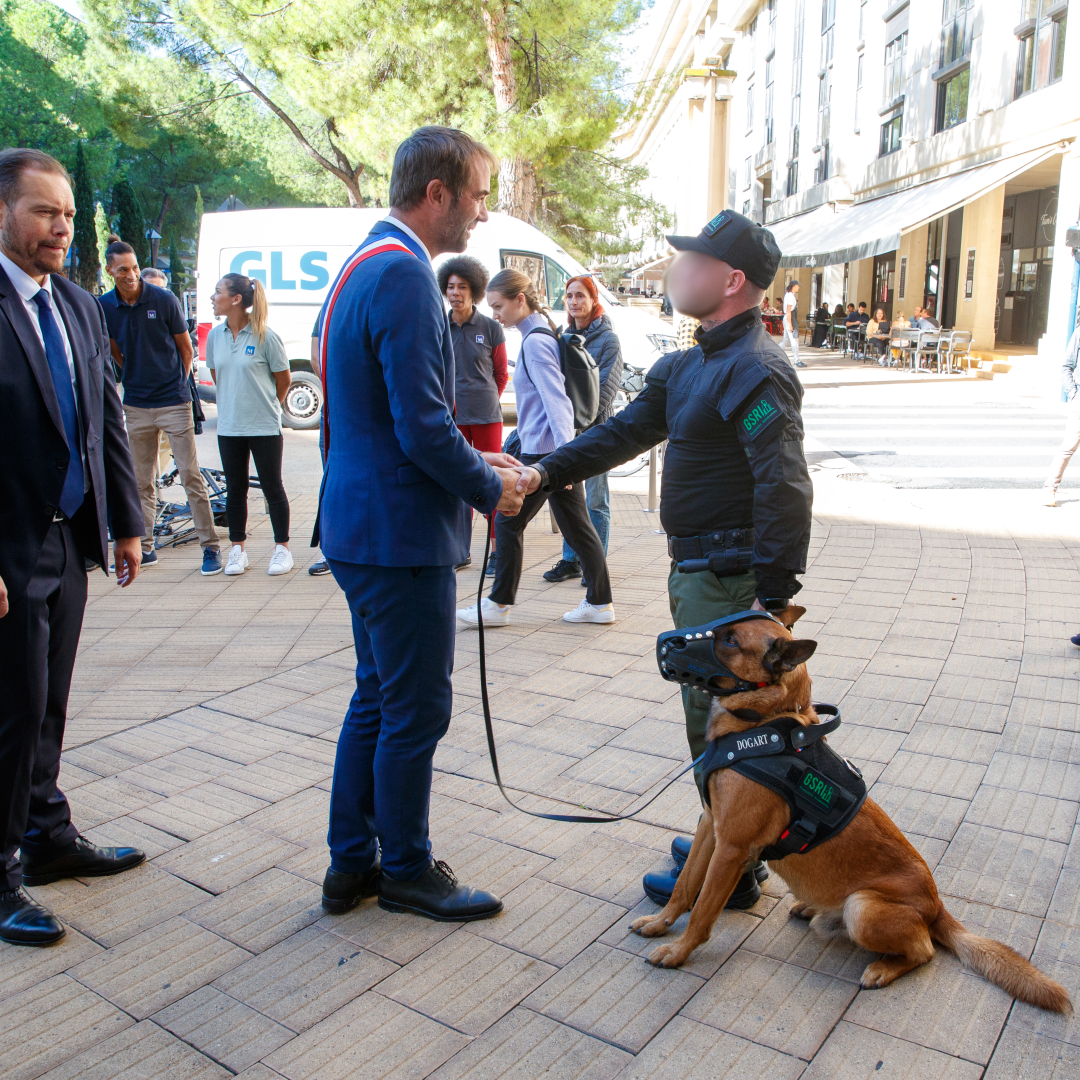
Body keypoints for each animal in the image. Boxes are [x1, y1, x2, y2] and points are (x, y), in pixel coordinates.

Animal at [630, 609, 1071, 1010]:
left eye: (731, 641)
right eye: (723, 626)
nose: (663, 641)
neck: (766, 723)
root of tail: (937, 907)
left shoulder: (732, 848)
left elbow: (704, 909)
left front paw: (679, 951)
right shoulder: (710, 826)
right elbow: (686, 886)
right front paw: (660, 924)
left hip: (864, 907)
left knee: (925, 950)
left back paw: (883, 968)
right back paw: (813, 908)